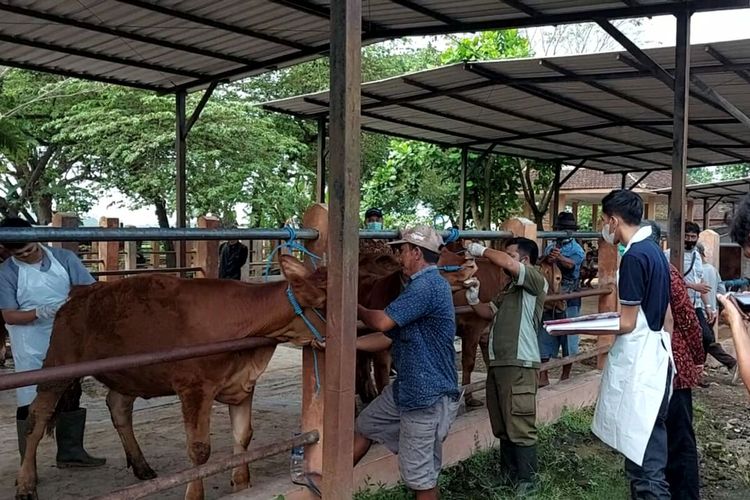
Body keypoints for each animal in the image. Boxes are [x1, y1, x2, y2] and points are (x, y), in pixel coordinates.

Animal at [14, 256, 326, 500]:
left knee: (118, 407)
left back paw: (142, 467)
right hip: (58, 364)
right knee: (37, 417)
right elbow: (200, 449)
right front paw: (194, 494)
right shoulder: (194, 388)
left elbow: (243, 436)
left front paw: (242, 486)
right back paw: (26, 484)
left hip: (130, 372)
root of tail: (78, 293)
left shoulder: (243, 385)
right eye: (323, 305)